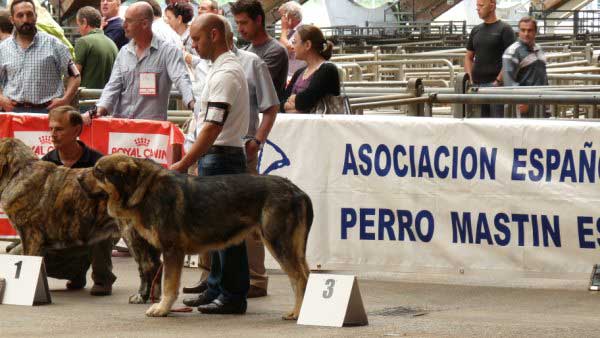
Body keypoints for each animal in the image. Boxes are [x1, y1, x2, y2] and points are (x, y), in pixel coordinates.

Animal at [0, 138, 162, 304]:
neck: (18, 172)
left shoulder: (31, 236)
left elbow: (27, 259)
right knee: (157, 265)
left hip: (132, 236)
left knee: (147, 266)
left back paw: (141, 296)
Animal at [83, 154, 314, 320]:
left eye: (98, 172)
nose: (77, 178)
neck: (144, 190)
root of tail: (297, 190)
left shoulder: (172, 250)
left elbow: (168, 284)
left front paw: (161, 308)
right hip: (292, 248)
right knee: (304, 276)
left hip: (279, 243)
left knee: (300, 279)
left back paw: (297, 313)